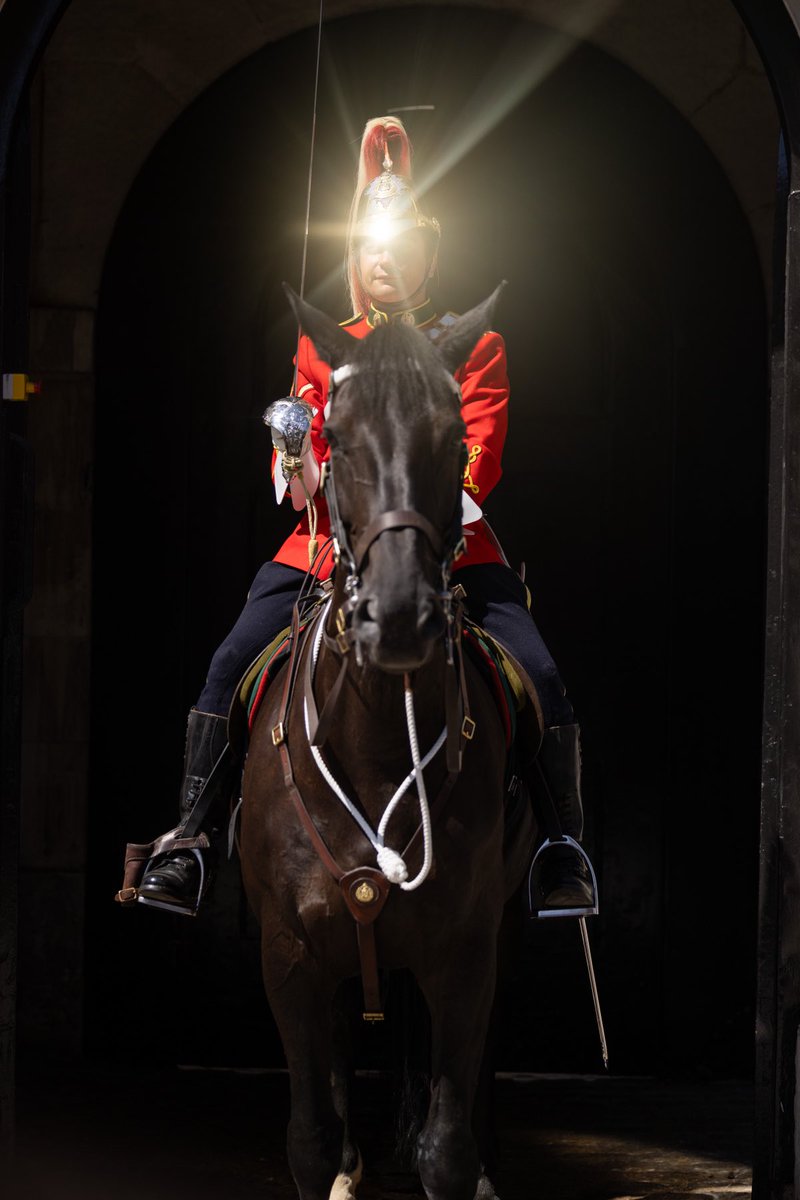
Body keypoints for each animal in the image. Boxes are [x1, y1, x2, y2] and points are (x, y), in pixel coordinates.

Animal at [239, 283, 538, 1200]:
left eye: (455, 436)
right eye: (336, 434)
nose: (399, 618)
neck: (375, 737)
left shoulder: (467, 952)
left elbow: (447, 1145)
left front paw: (456, 1161)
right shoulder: (290, 956)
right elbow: (306, 1136)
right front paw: (334, 1163)